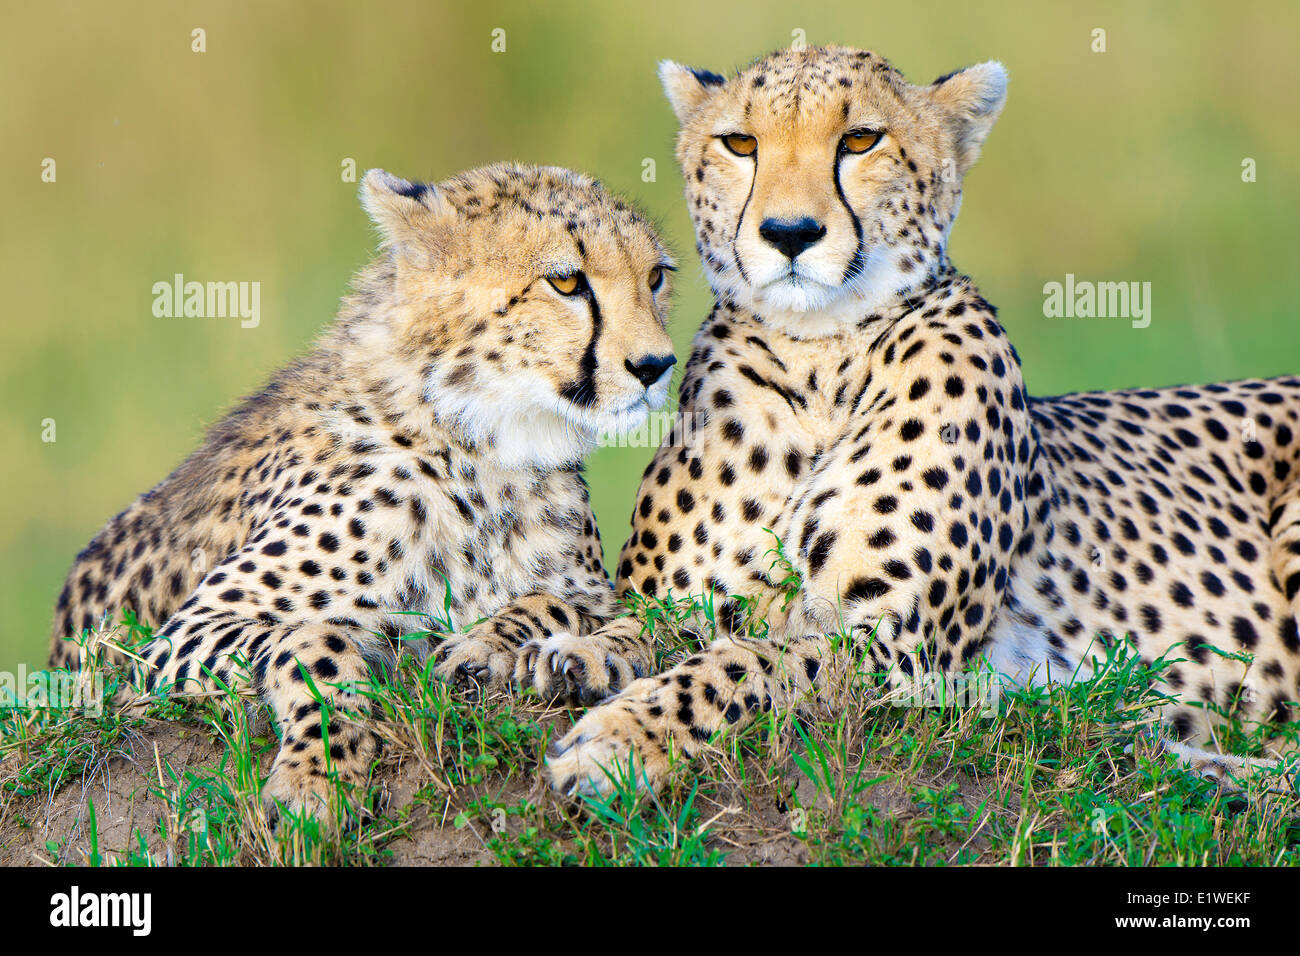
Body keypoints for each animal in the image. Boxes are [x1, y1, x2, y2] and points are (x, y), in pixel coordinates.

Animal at [48, 162, 681, 816]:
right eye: (566, 281)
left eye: (656, 277)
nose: (656, 365)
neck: (484, 446)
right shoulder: (180, 635)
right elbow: (316, 636)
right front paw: (315, 779)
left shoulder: (599, 594)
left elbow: (551, 603)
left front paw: (485, 646)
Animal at [546, 44, 1300, 796]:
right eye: (740, 143)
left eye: (860, 140)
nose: (790, 233)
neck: (818, 358)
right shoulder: (690, 600)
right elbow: (654, 629)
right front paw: (577, 652)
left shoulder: (895, 650)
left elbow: (750, 665)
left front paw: (620, 735)